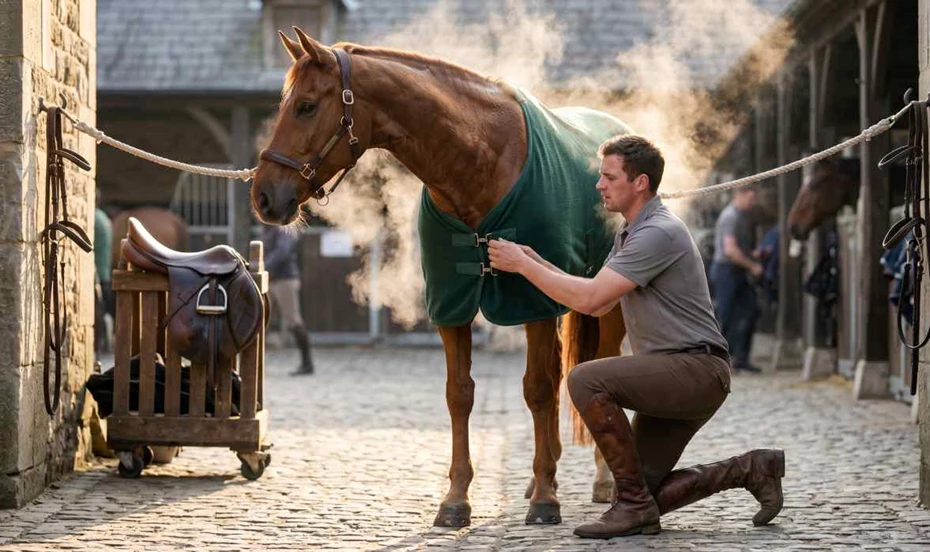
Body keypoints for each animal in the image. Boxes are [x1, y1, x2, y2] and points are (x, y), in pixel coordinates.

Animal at [251, 29, 628, 527]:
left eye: (307, 106)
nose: (262, 196)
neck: (481, 159)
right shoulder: (453, 306)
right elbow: (459, 395)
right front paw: (457, 498)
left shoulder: (533, 302)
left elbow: (538, 390)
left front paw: (546, 500)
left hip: (605, 306)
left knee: (598, 365)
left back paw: (600, 479)